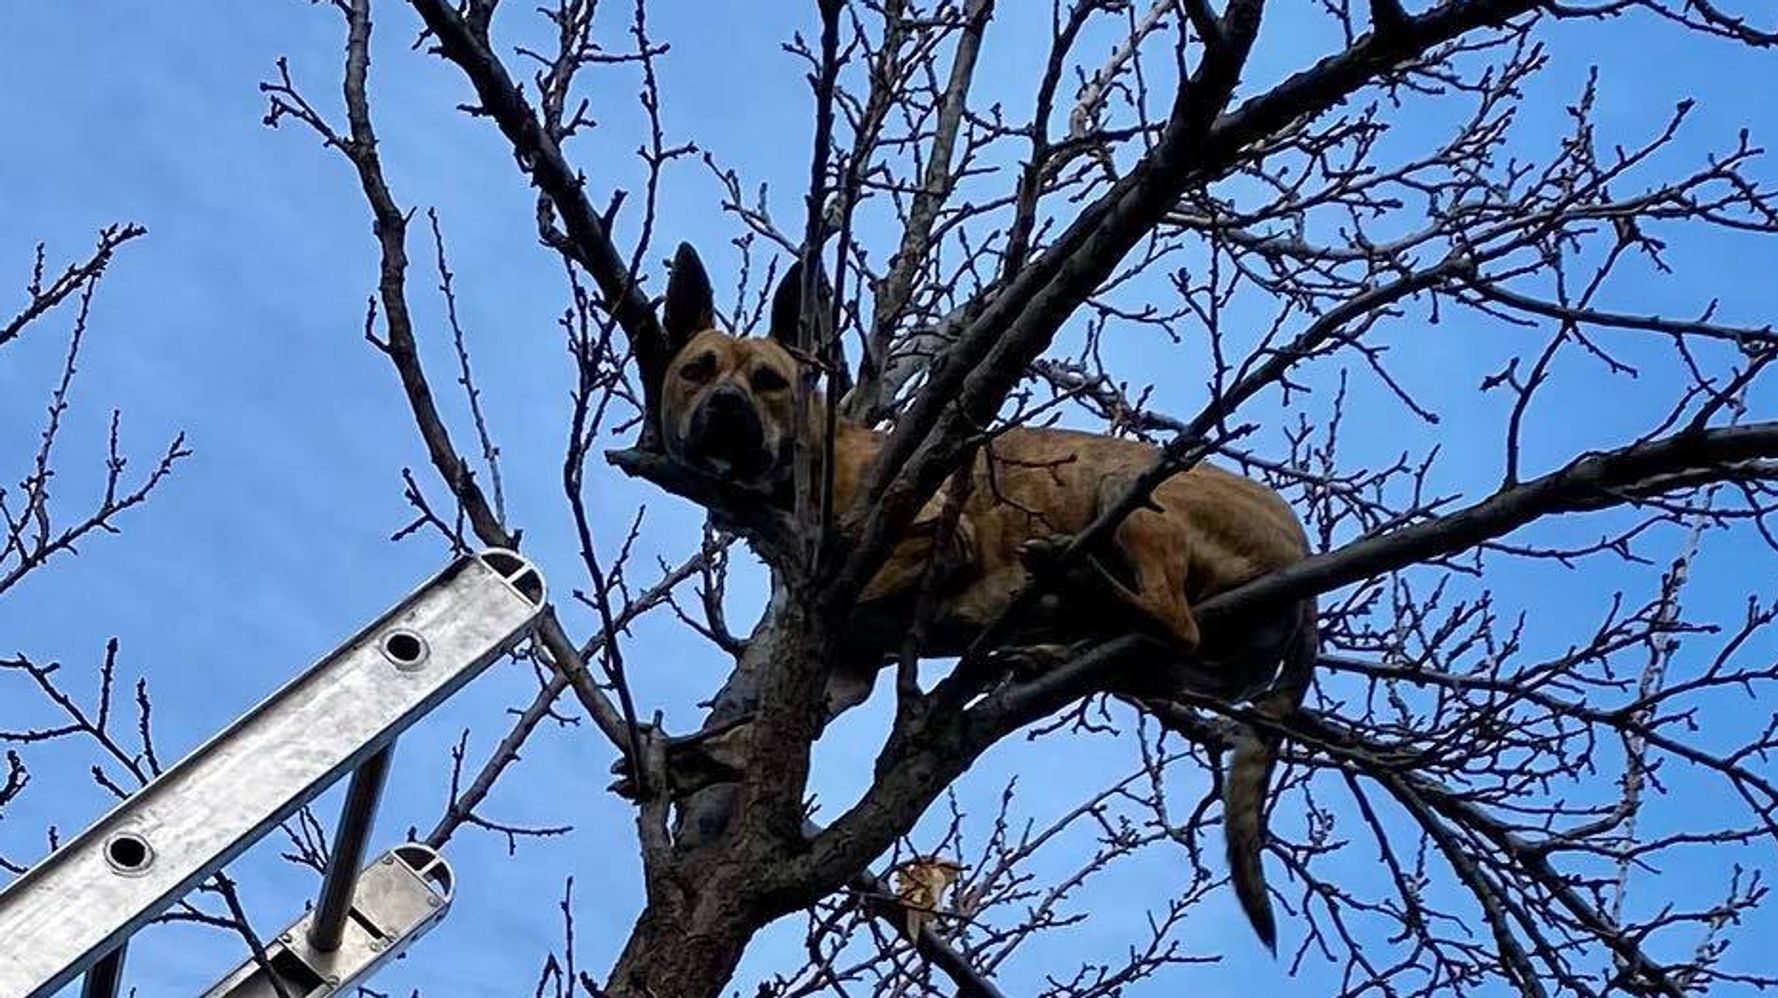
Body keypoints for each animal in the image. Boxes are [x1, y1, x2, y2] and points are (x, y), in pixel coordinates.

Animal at [657, 243, 1322, 946]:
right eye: (696, 371)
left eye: (770, 381)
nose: (727, 406)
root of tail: (1300, 550)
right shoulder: (848, 668)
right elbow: (755, 725)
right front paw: (696, 758)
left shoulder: (938, 543)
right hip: (1169, 656)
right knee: (1156, 646)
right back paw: (1053, 645)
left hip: (1126, 488)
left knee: (1172, 616)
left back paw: (1071, 579)